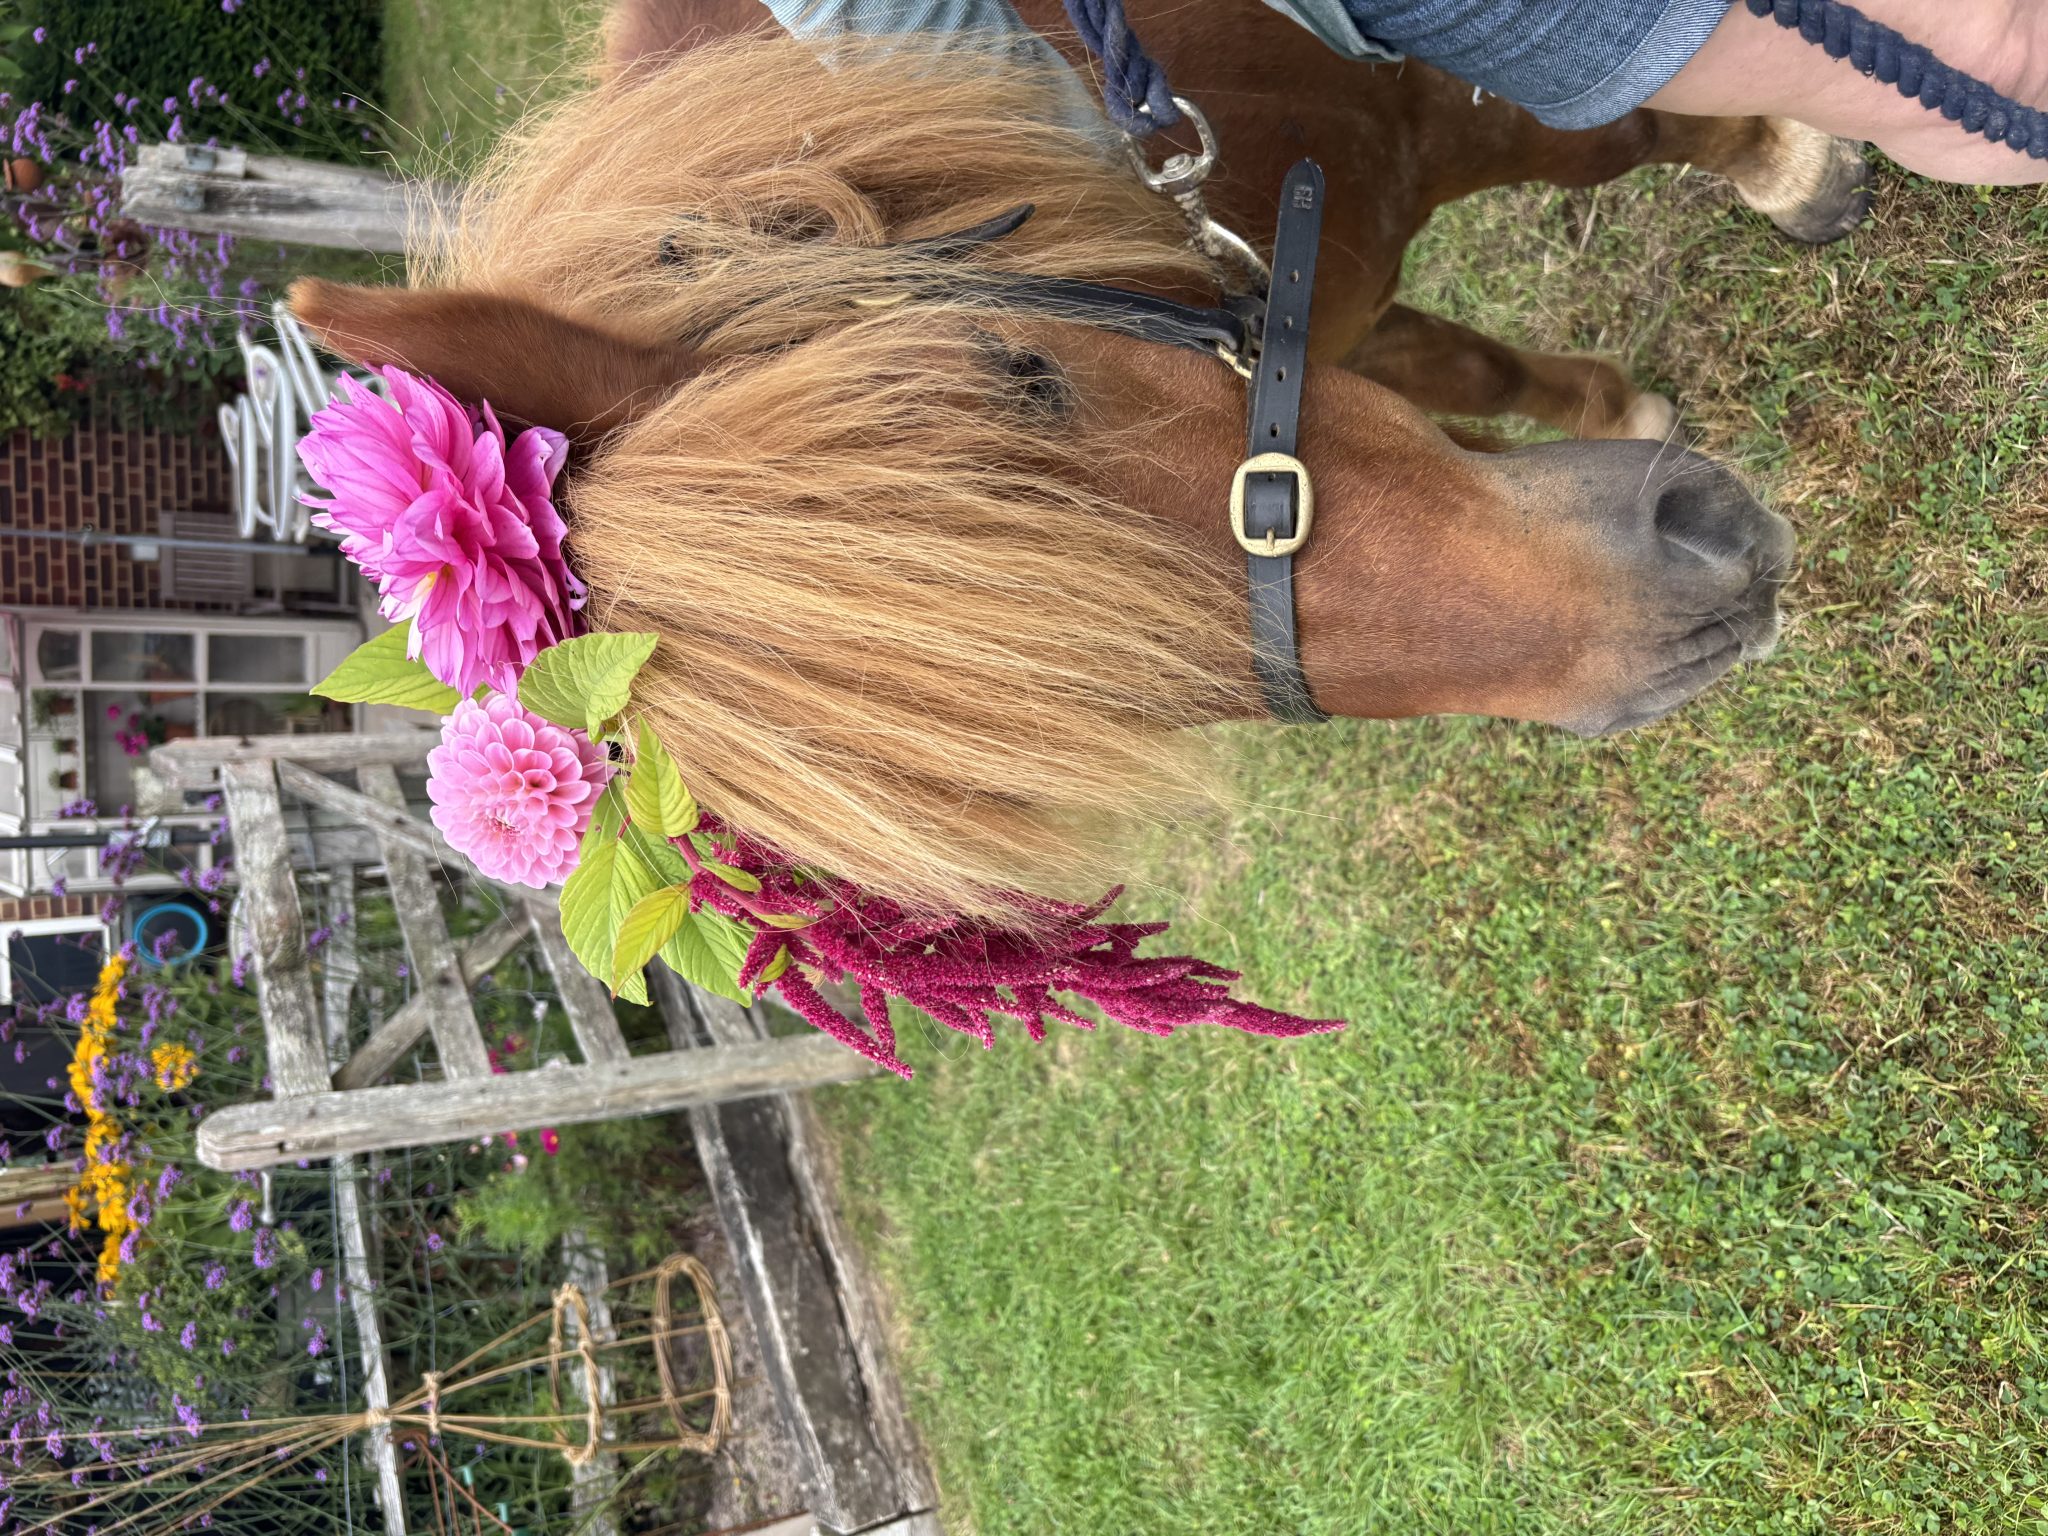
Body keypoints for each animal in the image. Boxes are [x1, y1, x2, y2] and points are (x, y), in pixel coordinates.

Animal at [288, 1, 1828, 921]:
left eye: (1026, 375)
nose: (1685, 593)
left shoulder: (1424, 108)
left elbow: (1624, 127)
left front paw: (1787, 165)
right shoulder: (1319, 296)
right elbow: (1470, 379)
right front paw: (1618, 404)